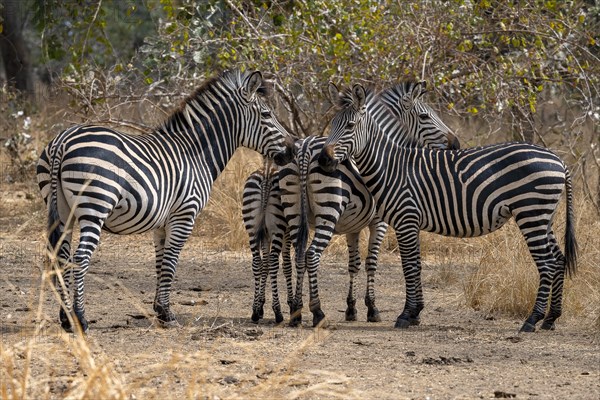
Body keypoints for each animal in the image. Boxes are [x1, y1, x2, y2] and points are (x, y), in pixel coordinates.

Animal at [37, 70, 296, 332]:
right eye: (267, 115)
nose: (292, 150)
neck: (195, 154)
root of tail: (62, 141)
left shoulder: (161, 222)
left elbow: (161, 262)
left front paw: (159, 310)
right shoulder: (185, 214)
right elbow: (171, 261)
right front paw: (168, 314)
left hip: (62, 210)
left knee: (61, 256)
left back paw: (65, 317)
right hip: (95, 206)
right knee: (80, 257)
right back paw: (80, 318)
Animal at [244, 80, 460, 324]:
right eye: (425, 116)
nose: (456, 143)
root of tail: (306, 148)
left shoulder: (352, 227)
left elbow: (353, 264)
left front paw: (351, 307)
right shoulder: (379, 221)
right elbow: (371, 262)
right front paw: (372, 308)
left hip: (291, 211)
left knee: (292, 256)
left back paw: (293, 311)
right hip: (328, 209)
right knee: (311, 254)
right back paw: (316, 312)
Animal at [318, 83, 576, 332]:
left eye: (350, 125)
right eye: (332, 125)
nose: (323, 160)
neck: (391, 165)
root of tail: (559, 160)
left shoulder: (405, 219)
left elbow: (409, 267)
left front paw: (405, 315)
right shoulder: (411, 222)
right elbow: (416, 265)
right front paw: (415, 313)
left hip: (531, 213)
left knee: (547, 263)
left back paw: (532, 320)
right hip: (545, 217)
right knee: (558, 258)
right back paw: (551, 318)